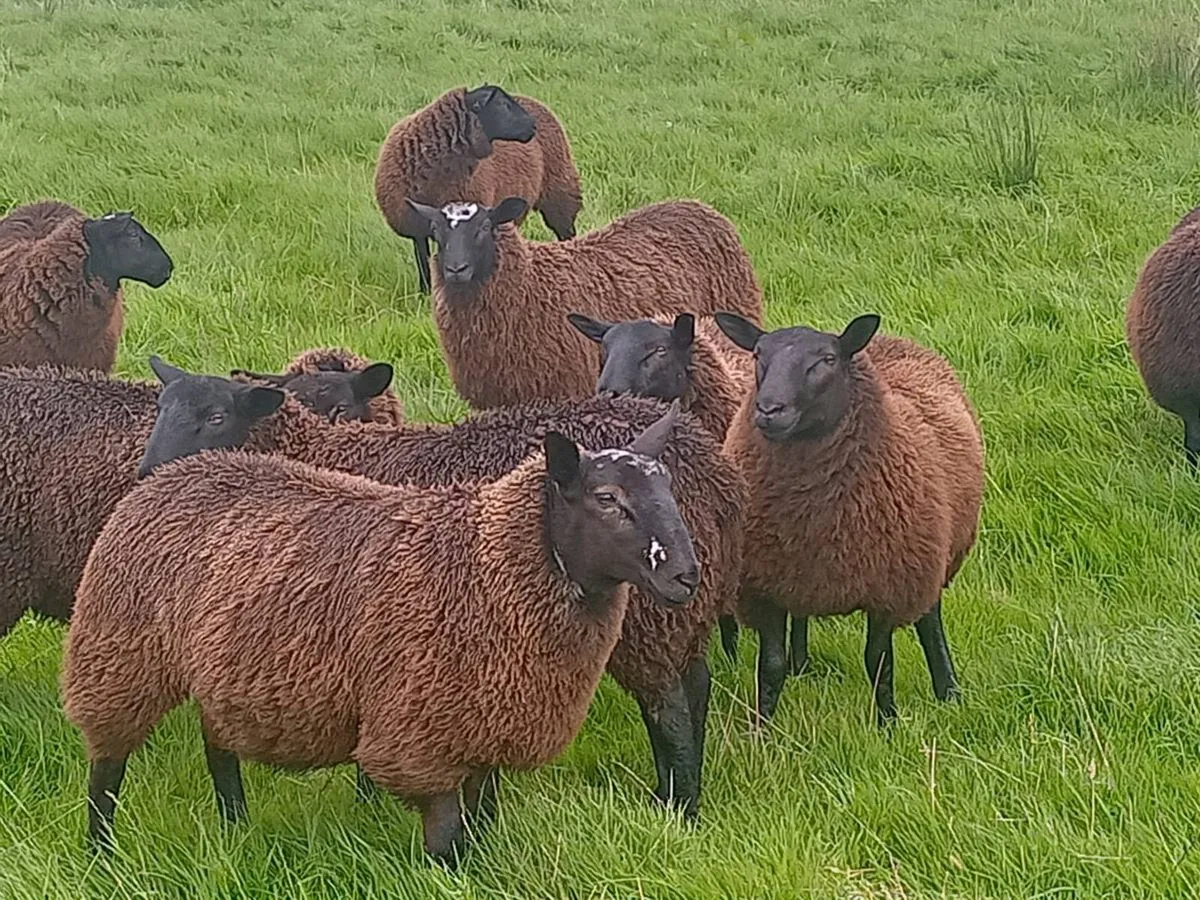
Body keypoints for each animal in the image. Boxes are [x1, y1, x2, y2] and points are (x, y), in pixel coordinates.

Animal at [65, 407, 700, 864]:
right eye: (607, 499)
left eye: (669, 491)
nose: (686, 575)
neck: (485, 562)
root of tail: (170, 475)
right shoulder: (419, 735)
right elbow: (447, 837)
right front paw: (449, 877)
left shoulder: (487, 719)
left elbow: (482, 819)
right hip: (116, 652)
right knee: (107, 767)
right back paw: (101, 854)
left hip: (220, 667)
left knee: (217, 747)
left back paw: (234, 828)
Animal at [139, 363, 745, 820]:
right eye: (162, 410)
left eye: (216, 416)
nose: (147, 478)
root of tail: (713, 473)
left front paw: (371, 800)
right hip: (684, 610)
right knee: (696, 686)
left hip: (649, 614)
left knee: (667, 708)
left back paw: (679, 808)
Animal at [375, 84, 582, 293]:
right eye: (502, 104)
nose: (533, 126)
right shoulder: (415, 225)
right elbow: (423, 261)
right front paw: (425, 291)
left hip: (560, 189)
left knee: (566, 232)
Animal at [714, 312, 984, 725]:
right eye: (758, 354)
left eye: (826, 360)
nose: (769, 409)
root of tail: (888, 340)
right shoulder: (765, 589)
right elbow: (771, 666)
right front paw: (762, 728)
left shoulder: (888, 590)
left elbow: (879, 662)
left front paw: (888, 725)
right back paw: (802, 666)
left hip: (928, 559)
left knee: (929, 620)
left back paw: (948, 689)